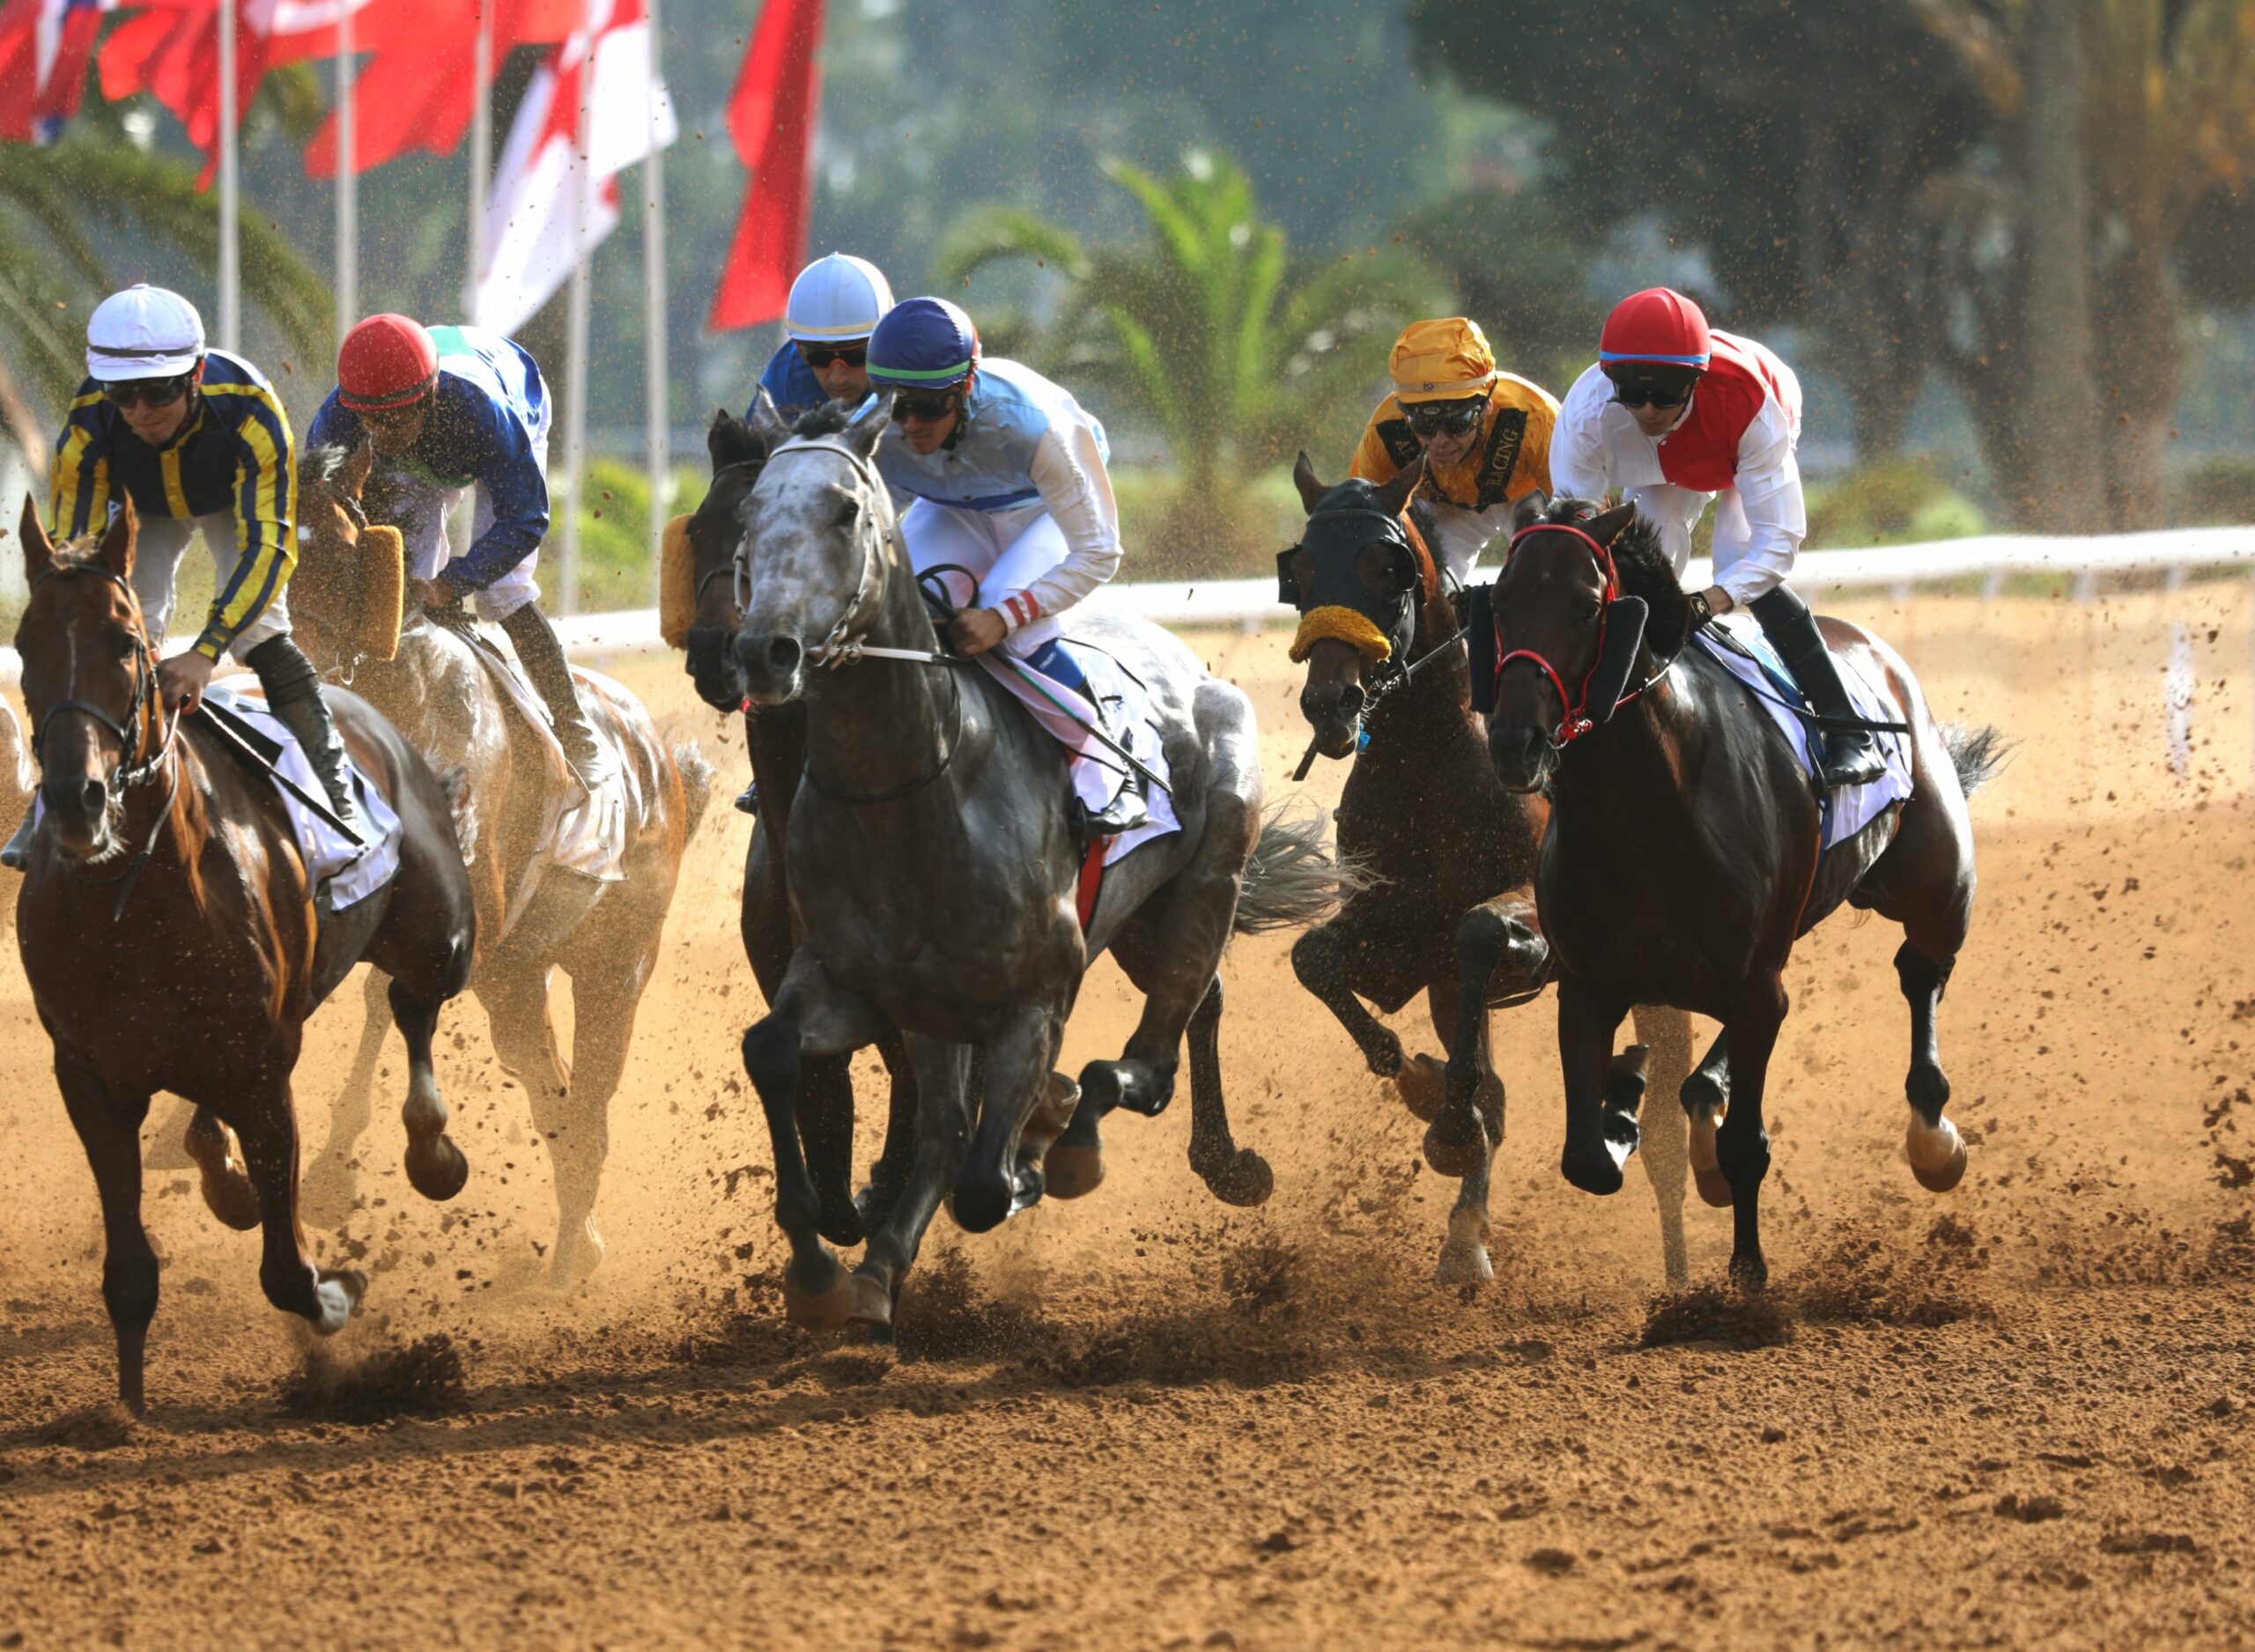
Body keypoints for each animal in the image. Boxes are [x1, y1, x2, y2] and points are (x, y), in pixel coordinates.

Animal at [11, 496, 476, 1415]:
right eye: (22, 643)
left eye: (125, 642)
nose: (78, 799)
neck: (135, 898)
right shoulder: (88, 1074)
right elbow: (129, 1274)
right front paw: (127, 1410)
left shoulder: (264, 1066)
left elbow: (289, 1272)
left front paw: (340, 1293)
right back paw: (221, 1169)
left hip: (441, 933)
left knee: (413, 1006)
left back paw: (431, 1148)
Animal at [288, 444, 712, 1280]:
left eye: (350, 556)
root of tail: (662, 761)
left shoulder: (468, 912)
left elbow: (384, 997)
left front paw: (335, 1175)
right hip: (518, 976)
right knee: (550, 1088)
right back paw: (578, 1239)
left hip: (617, 964)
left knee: (589, 1102)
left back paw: (572, 1249)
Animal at [726, 396, 1335, 1324]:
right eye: (748, 515)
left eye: (844, 510)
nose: (767, 651)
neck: (912, 797)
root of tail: (1189, 662)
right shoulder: (860, 986)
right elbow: (775, 1053)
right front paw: (822, 1269)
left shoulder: (1034, 999)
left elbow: (984, 1184)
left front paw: (1027, 1156)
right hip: (1101, 938)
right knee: (960, 1120)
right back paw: (886, 1262)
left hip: (1200, 886)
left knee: (1152, 1058)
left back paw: (1098, 1142)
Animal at [1290, 457, 1696, 1280]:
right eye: (1302, 567)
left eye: (1385, 567)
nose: (1330, 701)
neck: (1433, 772)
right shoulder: (1406, 938)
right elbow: (1314, 957)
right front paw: (1421, 1087)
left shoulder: (1528, 921)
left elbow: (1479, 931)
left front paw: (1446, 1122)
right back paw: (1463, 1237)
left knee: (1668, 1127)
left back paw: (1680, 1271)